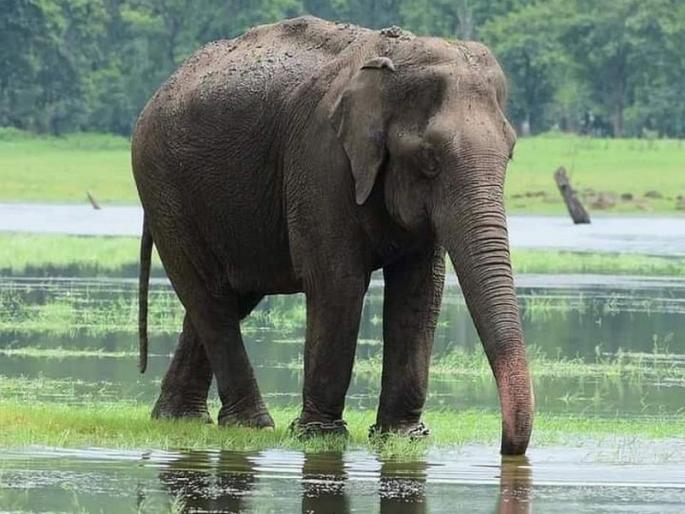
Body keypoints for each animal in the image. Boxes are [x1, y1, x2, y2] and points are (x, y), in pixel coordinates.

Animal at [132, 15, 534, 455]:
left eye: (511, 153)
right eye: (430, 159)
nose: (505, 448)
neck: (394, 60)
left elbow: (420, 290)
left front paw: (402, 437)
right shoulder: (320, 161)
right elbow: (338, 282)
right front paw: (320, 436)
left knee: (229, 296)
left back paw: (179, 419)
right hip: (163, 188)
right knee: (210, 295)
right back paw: (252, 426)